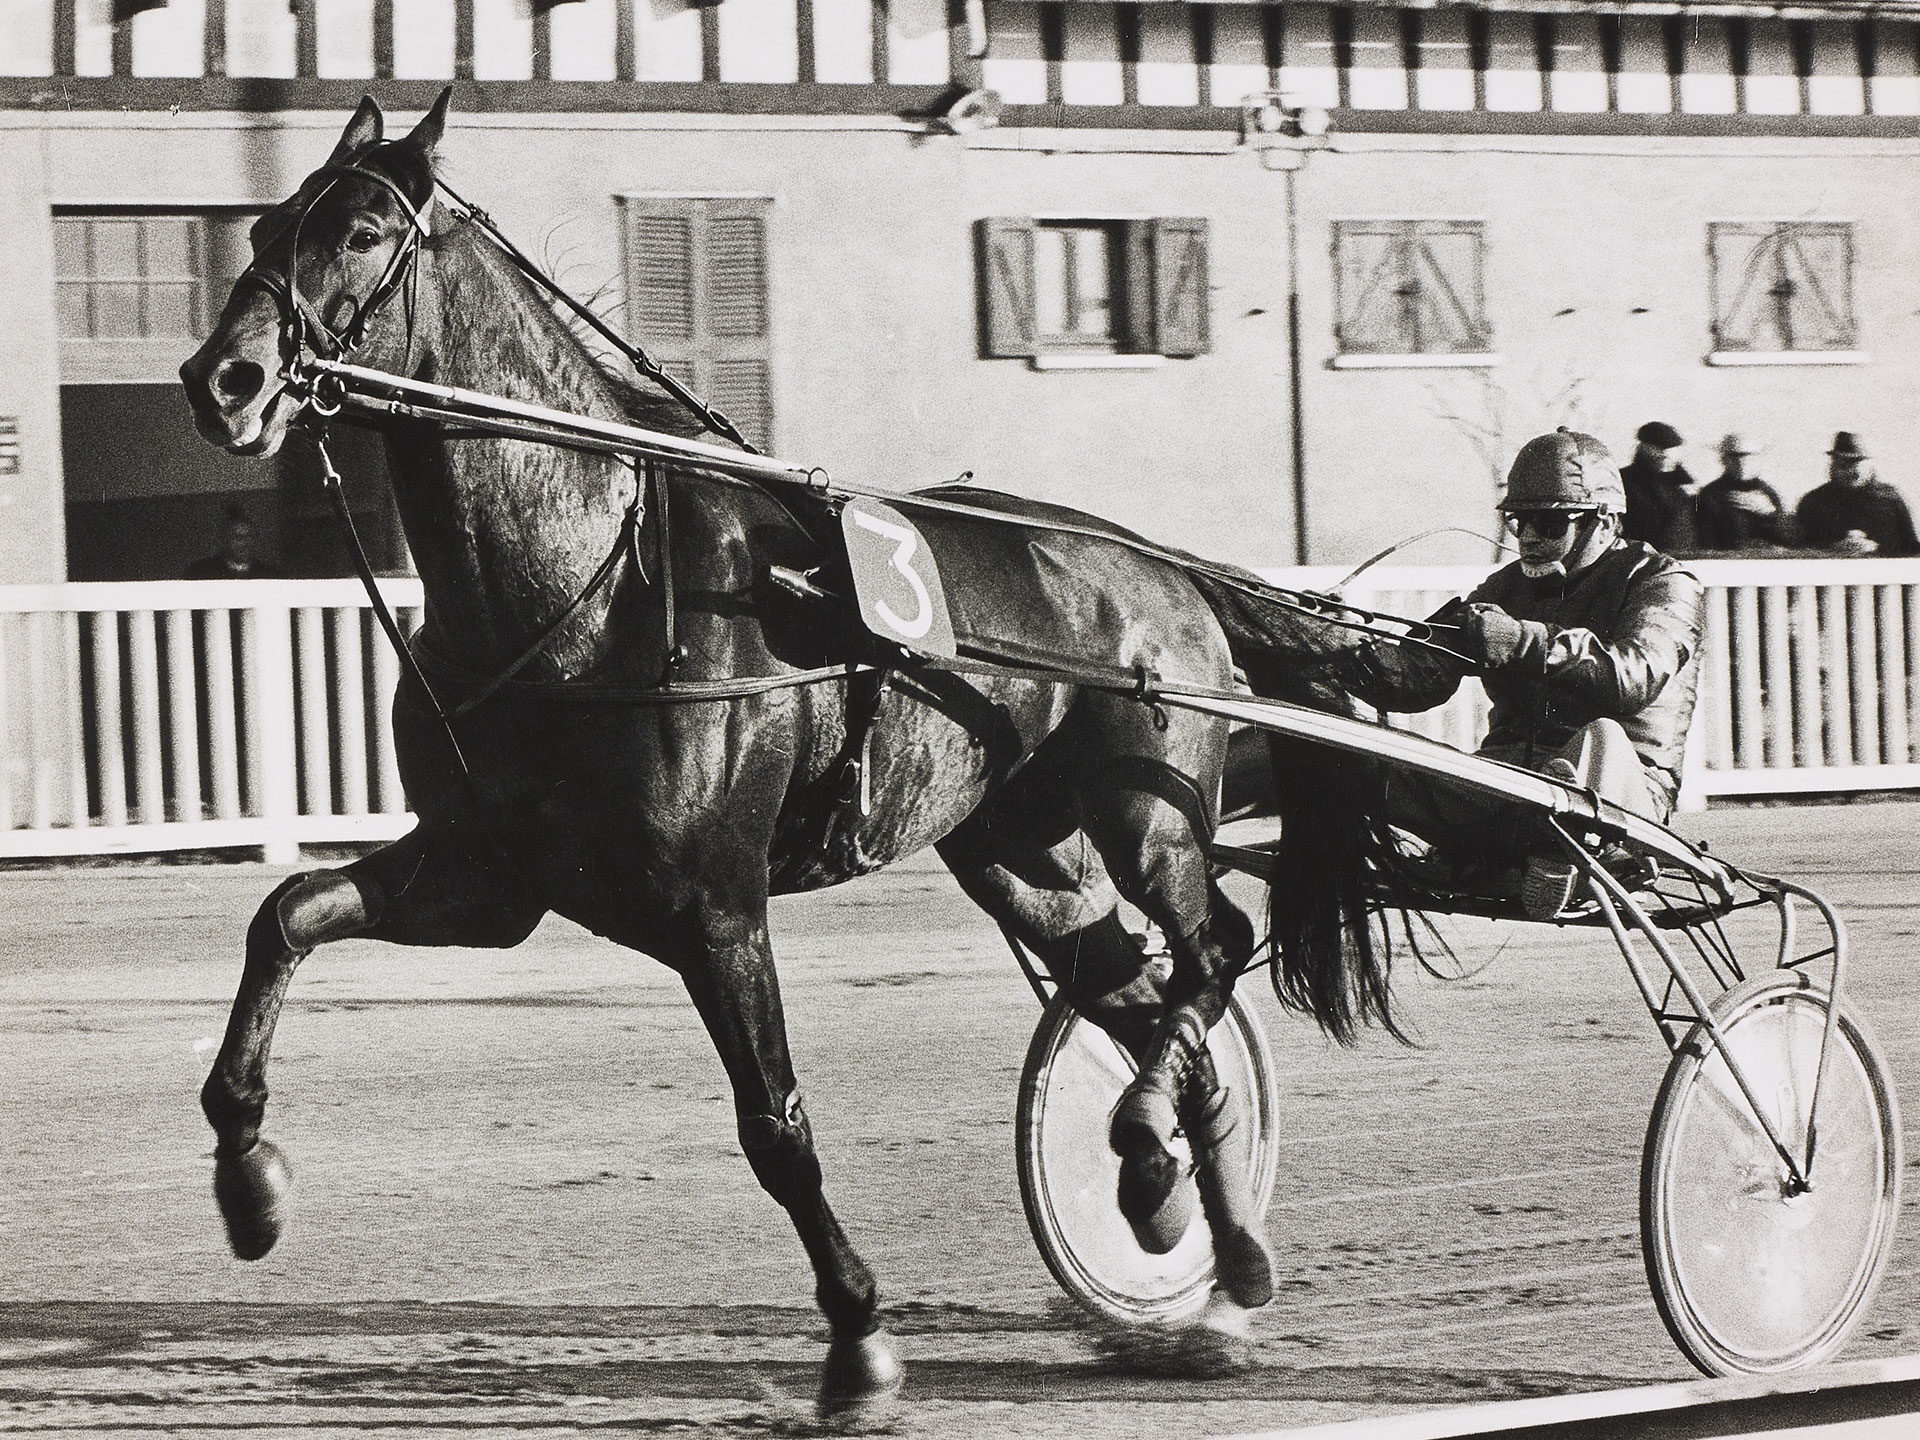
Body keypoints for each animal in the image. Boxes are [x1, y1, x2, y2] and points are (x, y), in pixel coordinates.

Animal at [172, 96, 1390, 1428]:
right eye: (265, 226)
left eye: (360, 231)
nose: (220, 380)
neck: (584, 585)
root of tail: (1158, 564)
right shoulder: (492, 879)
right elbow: (286, 914)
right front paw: (247, 1178)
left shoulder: (714, 904)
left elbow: (776, 1126)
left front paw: (860, 1342)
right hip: (1023, 853)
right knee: (1141, 990)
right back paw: (1211, 1246)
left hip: (1145, 811)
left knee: (1209, 946)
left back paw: (1154, 1161)